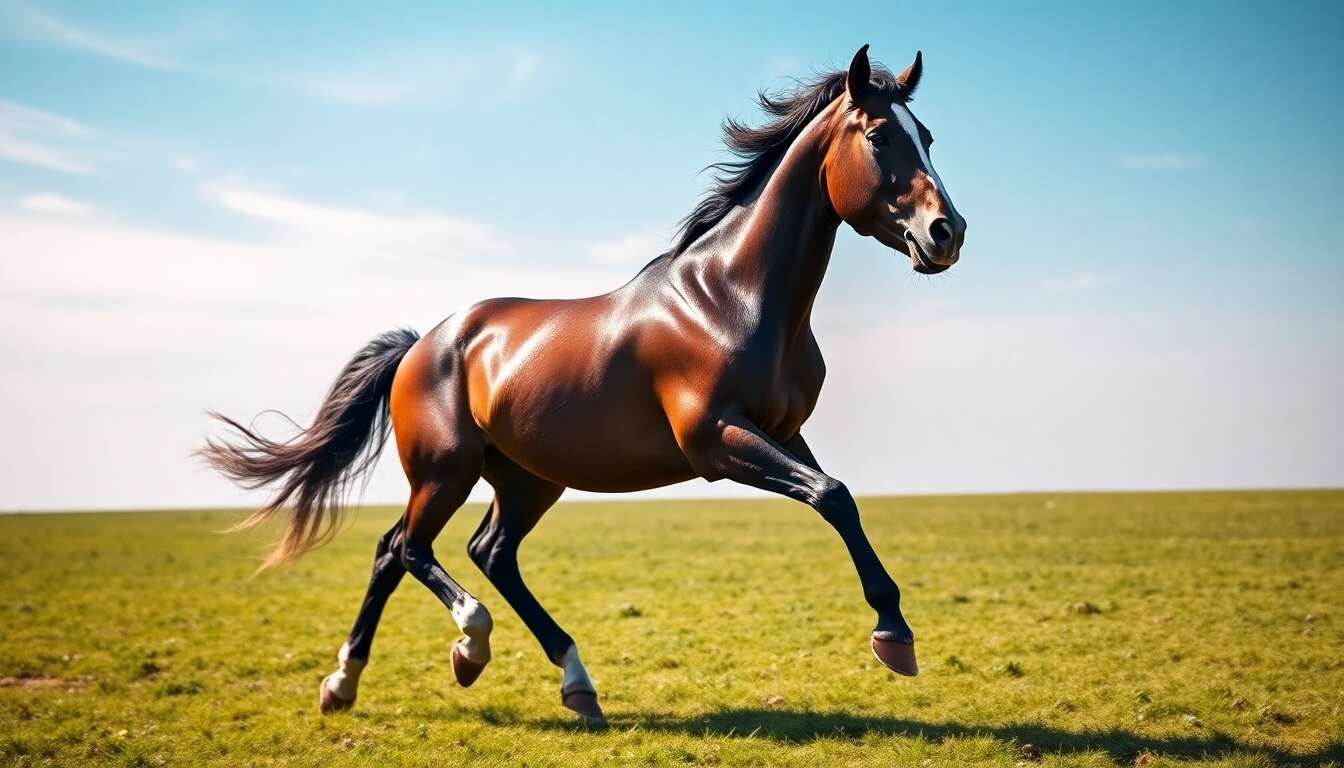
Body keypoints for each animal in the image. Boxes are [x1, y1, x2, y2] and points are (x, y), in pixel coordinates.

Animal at [202, 44, 966, 726]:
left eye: (927, 137)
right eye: (879, 136)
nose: (946, 232)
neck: (731, 298)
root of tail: (424, 343)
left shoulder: (780, 433)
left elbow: (838, 497)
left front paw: (895, 631)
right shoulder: (716, 440)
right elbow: (833, 495)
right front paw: (894, 637)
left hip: (528, 477)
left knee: (487, 552)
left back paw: (549, 682)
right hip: (445, 470)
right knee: (403, 549)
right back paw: (445, 652)